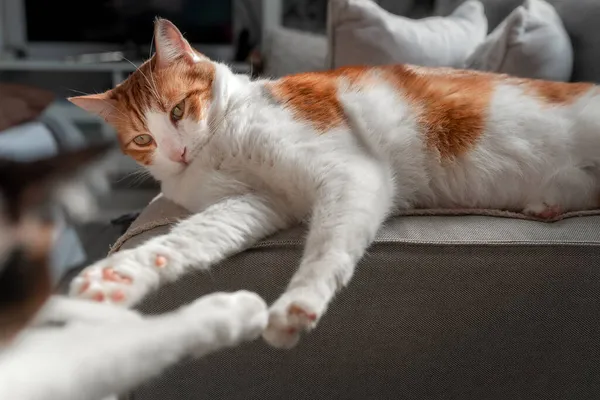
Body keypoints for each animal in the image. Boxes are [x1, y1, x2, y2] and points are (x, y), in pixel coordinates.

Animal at [68, 18, 600, 348]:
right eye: (143, 138)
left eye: (178, 110)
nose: (176, 153)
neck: (218, 145)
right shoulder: (255, 203)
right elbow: (186, 241)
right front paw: (120, 276)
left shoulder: (353, 172)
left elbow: (327, 248)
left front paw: (297, 306)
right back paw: (549, 202)